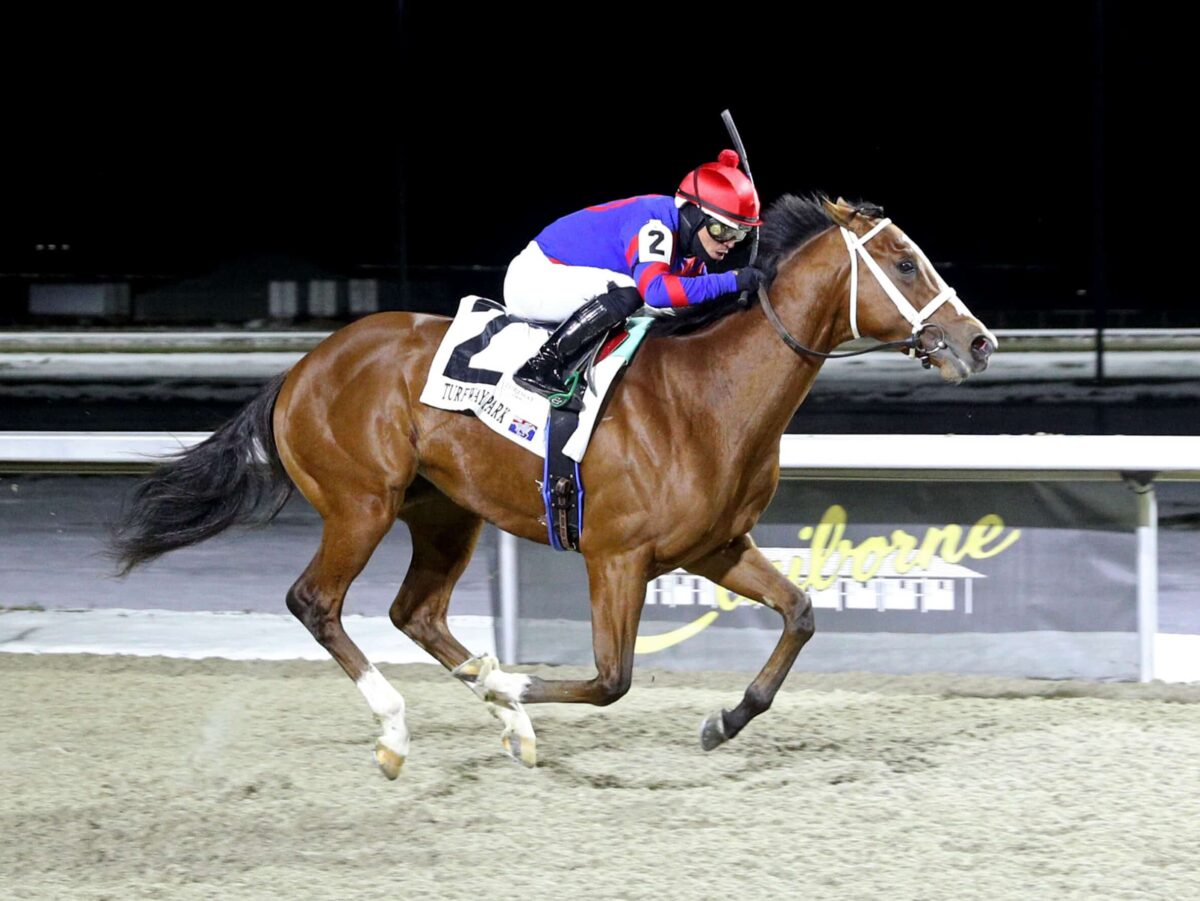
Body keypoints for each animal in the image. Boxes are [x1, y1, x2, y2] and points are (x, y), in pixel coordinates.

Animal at [110, 194, 993, 777]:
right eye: (906, 262)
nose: (979, 341)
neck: (707, 395)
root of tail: (303, 368)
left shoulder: (715, 546)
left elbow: (802, 613)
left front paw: (724, 719)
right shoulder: (616, 556)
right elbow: (610, 678)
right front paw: (506, 679)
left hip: (445, 512)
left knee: (415, 612)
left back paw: (504, 717)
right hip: (361, 502)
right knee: (316, 602)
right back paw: (402, 728)